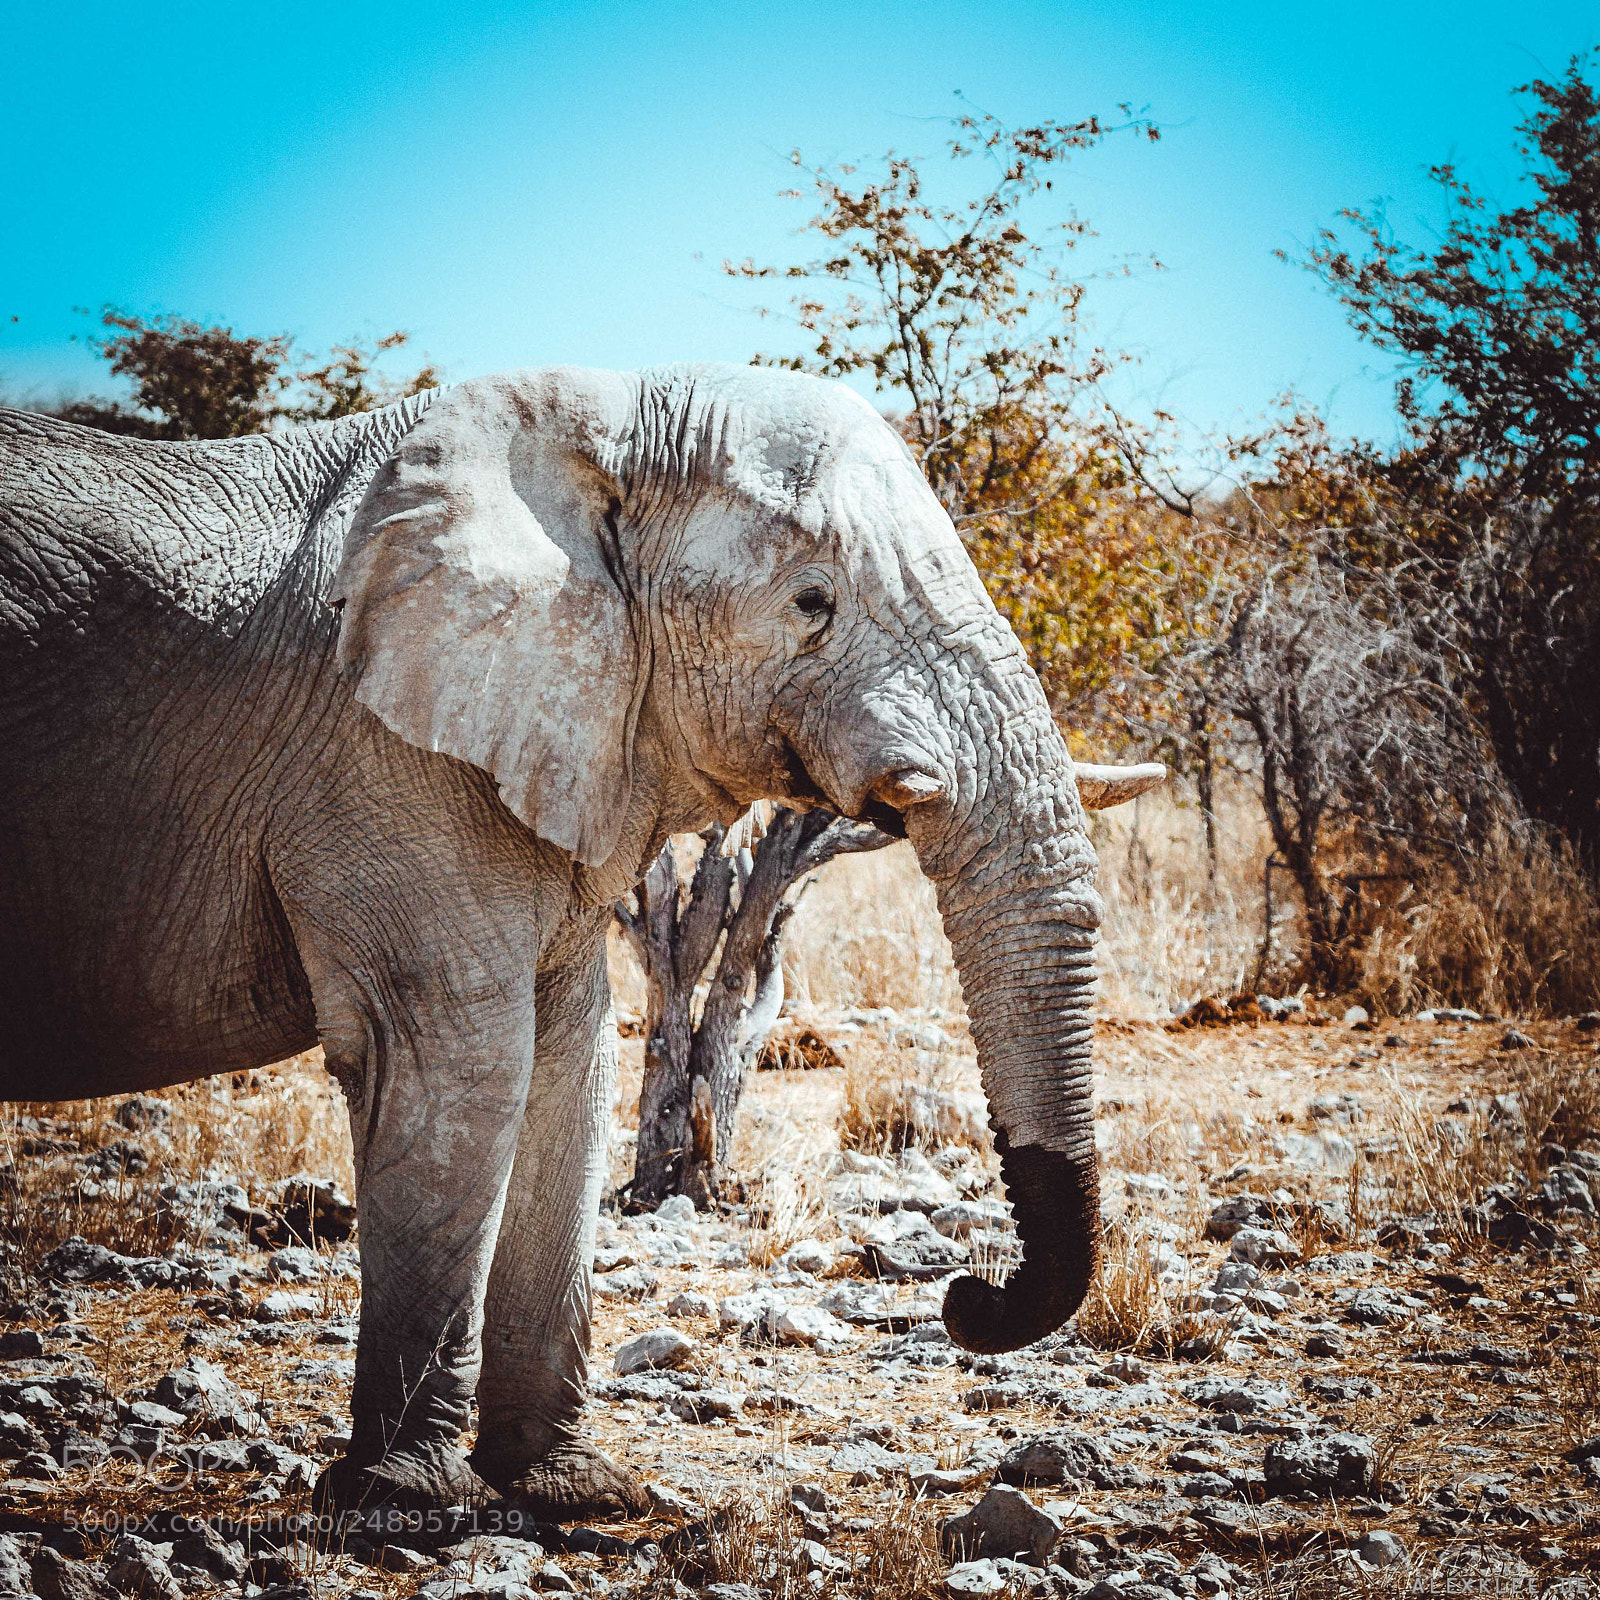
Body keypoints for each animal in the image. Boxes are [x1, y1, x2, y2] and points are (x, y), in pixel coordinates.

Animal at [0, 364, 1163, 1519]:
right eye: (811, 603)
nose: (969, 1297)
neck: (602, 419)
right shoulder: (382, 758)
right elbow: (462, 1062)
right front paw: (409, 1505)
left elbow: (573, 1053)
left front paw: (573, 1491)